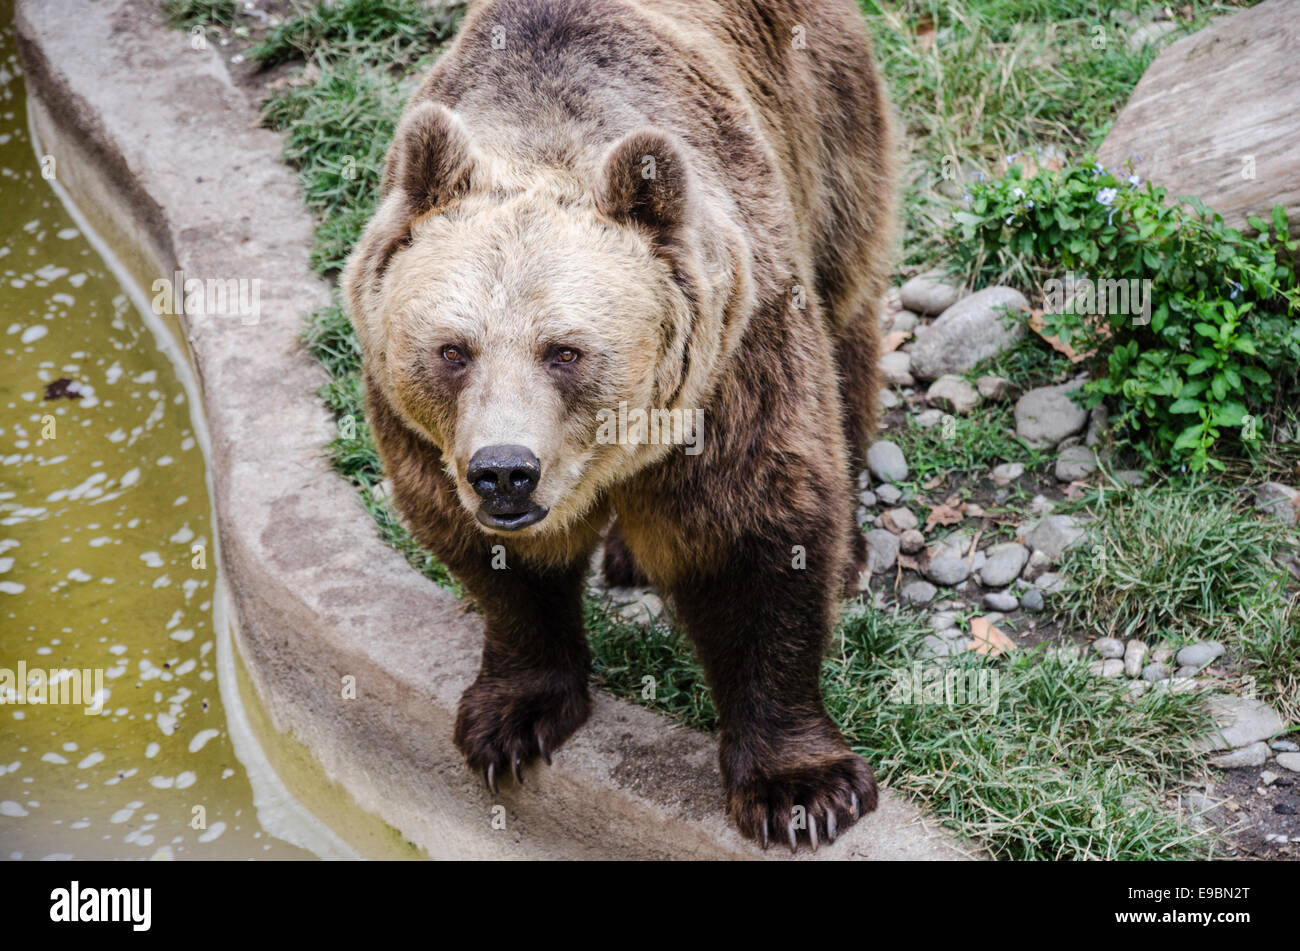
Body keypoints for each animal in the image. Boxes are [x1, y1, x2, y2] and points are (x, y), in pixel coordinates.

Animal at [343, 0, 894, 852]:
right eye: (452, 349)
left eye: (565, 350)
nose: (505, 471)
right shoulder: (419, 432)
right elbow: (493, 565)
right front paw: (512, 720)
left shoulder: (731, 369)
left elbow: (757, 531)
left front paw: (800, 788)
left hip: (826, 119)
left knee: (845, 316)